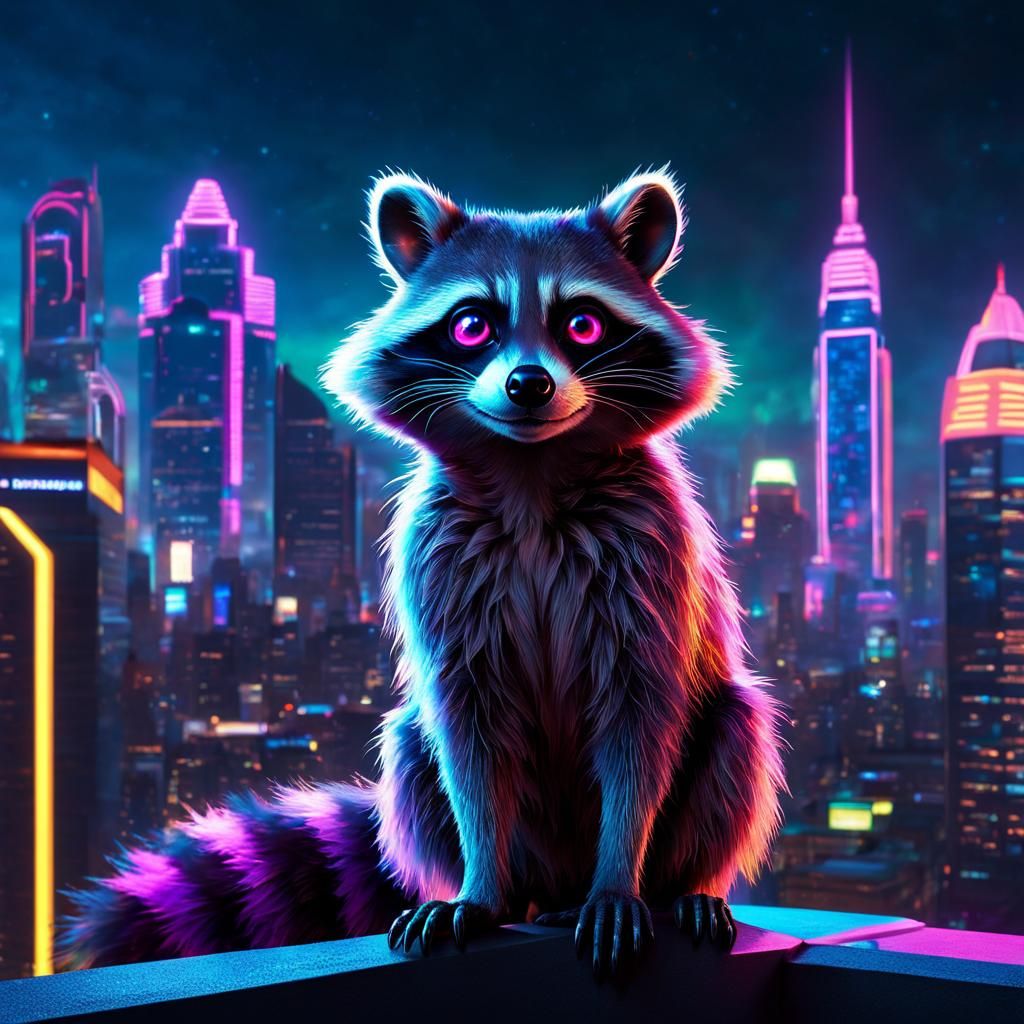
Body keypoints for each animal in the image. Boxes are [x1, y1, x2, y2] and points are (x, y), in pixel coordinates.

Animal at [59, 171, 784, 979]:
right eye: (471, 326)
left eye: (583, 325)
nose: (529, 384)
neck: (531, 474)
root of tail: (556, 876)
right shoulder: (438, 552)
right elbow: (468, 731)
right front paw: (480, 885)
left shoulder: (647, 544)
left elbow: (640, 717)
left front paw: (618, 880)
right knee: (412, 742)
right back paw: (511, 893)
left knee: (735, 726)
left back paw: (683, 886)